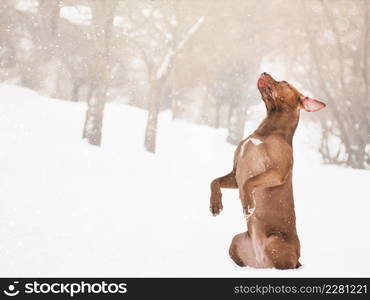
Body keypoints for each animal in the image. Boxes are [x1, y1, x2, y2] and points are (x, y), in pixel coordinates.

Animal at [210, 72, 326, 270]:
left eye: (284, 82)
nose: (264, 72)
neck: (268, 130)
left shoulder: (277, 172)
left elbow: (249, 183)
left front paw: (248, 204)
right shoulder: (235, 175)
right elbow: (214, 181)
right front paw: (215, 204)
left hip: (274, 241)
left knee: (283, 266)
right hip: (236, 240)